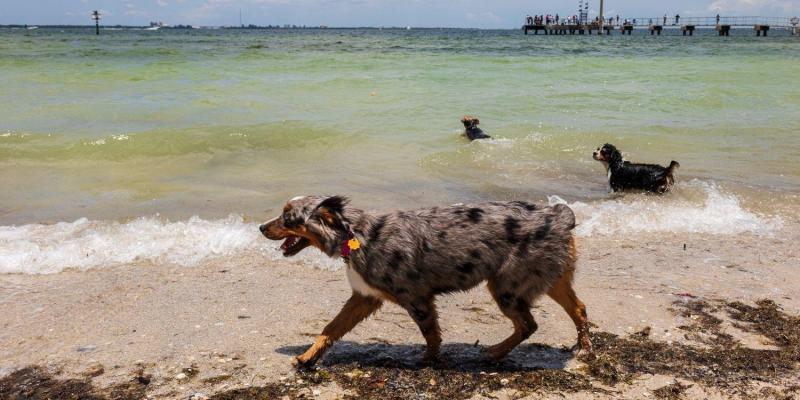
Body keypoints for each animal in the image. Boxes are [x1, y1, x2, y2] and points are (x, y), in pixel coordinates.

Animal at [260, 195, 592, 368]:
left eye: (288, 218)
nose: (261, 227)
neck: (356, 234)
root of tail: (559, 215)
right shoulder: (364, 297)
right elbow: (330, 329)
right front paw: (308, 357)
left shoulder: (416, 298)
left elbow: (431, 334)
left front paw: (429, 361)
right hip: (550, 280)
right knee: (578, 309)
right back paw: (583, 348)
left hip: (507, 288)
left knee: (528, 324)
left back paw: (496, 352)